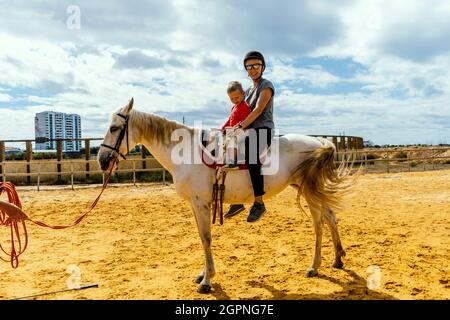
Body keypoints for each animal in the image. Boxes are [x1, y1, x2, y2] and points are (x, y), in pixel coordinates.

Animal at [97, 99, 352, 294]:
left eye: (114, 128)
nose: (102, 160)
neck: (187, 153)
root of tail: (319, 140)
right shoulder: (195, 205)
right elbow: (201, 237)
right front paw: (202, 274)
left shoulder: (202, 204)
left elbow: (206, 239)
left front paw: (207, 281)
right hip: (308, 188)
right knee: (330, 217)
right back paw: (337, 259)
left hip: (309, 190)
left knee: (319, 223)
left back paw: (314, 266)